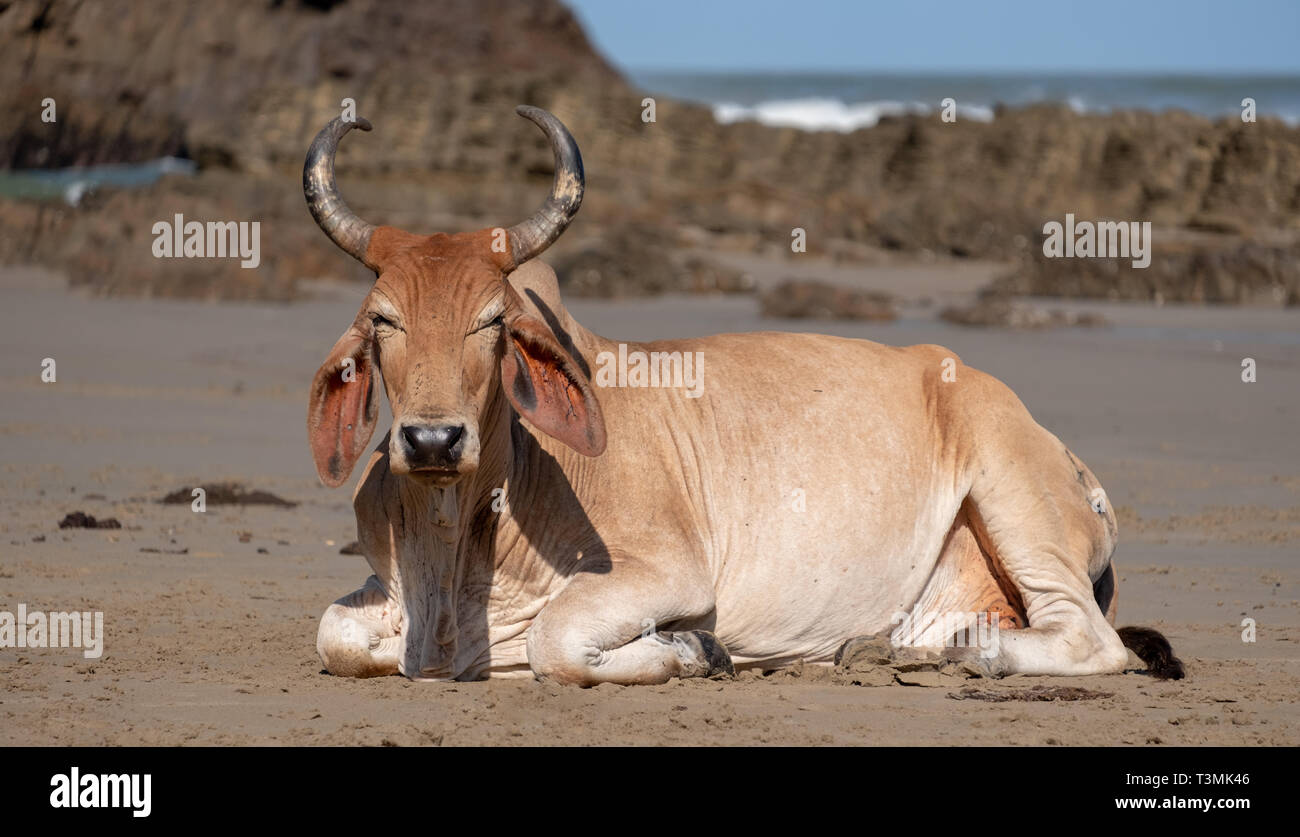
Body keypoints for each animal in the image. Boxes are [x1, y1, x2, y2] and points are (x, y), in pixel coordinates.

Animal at [304, 106, 1180, 686]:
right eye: (382, 318)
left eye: (492, 319)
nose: (432, 441)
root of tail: (1071, 460)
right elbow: (335, 633)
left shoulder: (668, 573)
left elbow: (559, 643)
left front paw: (696, 650)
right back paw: (890, 648)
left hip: (1016, 495)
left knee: (1092, 641)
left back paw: (967, 653)